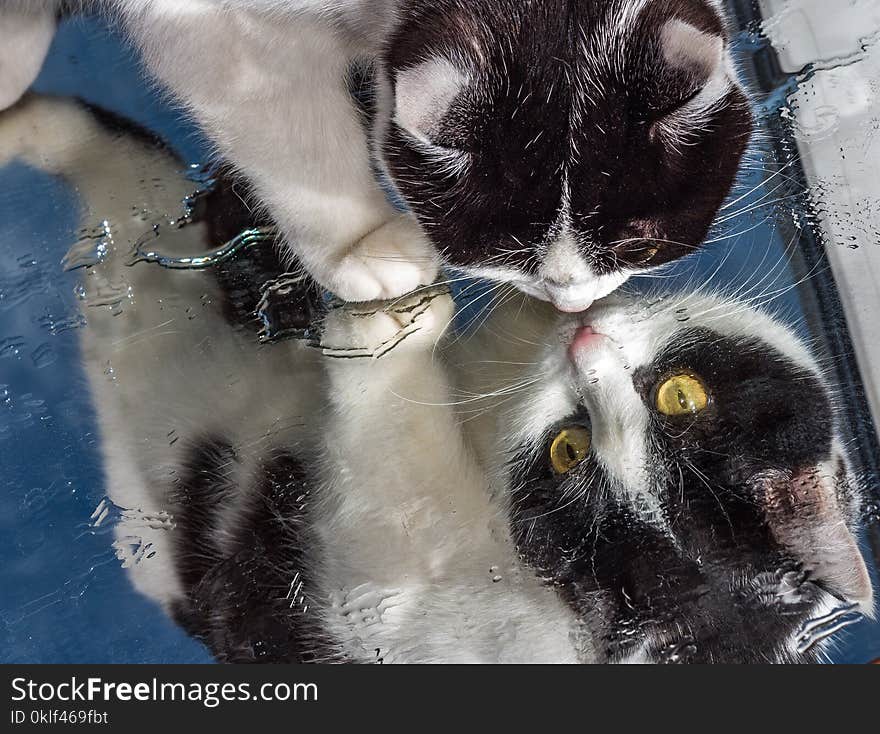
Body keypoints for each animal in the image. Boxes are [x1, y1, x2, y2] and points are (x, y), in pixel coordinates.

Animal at [0, 95, 868, 664]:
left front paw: (390, 328)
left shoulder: (395, 600)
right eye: (681, 395)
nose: (586, 347)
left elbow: (390, 464)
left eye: (566, 455)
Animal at [1, 0, 756, 310]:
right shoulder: (211, 30)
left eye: (637, 247)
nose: (571, 303)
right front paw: (358, 243)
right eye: (504, 251)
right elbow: (292, 137)